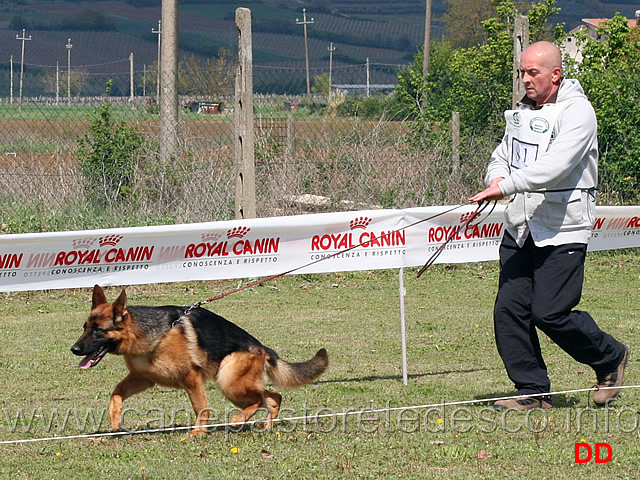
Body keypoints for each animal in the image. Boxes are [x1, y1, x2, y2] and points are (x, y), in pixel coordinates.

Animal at [72, 284, 328, 436]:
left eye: (97, 331)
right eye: (85, 328)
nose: (74, 349)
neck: (149, 335)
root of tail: (263, 348)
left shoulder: (191, 377)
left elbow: (200, 406)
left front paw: (198, 432)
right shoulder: (143, 378)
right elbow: (116, 394)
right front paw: (115, 421)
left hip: (229, 381)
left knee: (261, 398)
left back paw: (238, 420)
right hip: (236, 385)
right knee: (273, 397)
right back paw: (267, 425)